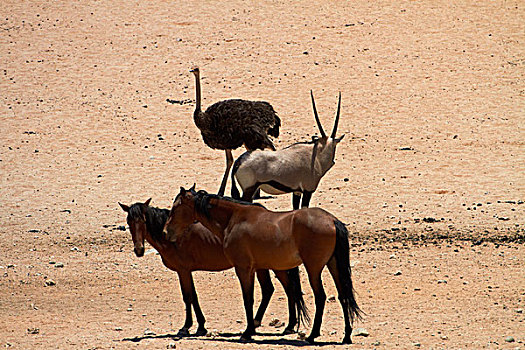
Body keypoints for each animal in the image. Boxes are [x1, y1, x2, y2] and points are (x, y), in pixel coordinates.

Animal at [117, 198, 308, 334]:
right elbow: (194, 297)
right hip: (263, 267)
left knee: (288, 289)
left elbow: (188, 297)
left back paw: (287, 325)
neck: (173, 236)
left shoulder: (183, 271)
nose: (139, 250)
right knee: (272, 289)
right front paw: (201, 326)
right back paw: (265, 322)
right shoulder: (187, 271)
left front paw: (186, 326)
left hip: (275, 267)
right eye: (129, 223)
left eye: (143, 220)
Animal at [164, 187, 360, 344]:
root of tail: (332, 220)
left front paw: (247, 332)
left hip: (313, 268)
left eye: (176, 208)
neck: (234, 219)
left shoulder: (243, 269)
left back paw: (312, 335)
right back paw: (346, 336)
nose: (166, 232)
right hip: (333, 266)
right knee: (343, 296)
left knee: (320, 297)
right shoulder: (255, 268)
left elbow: (248, 299)